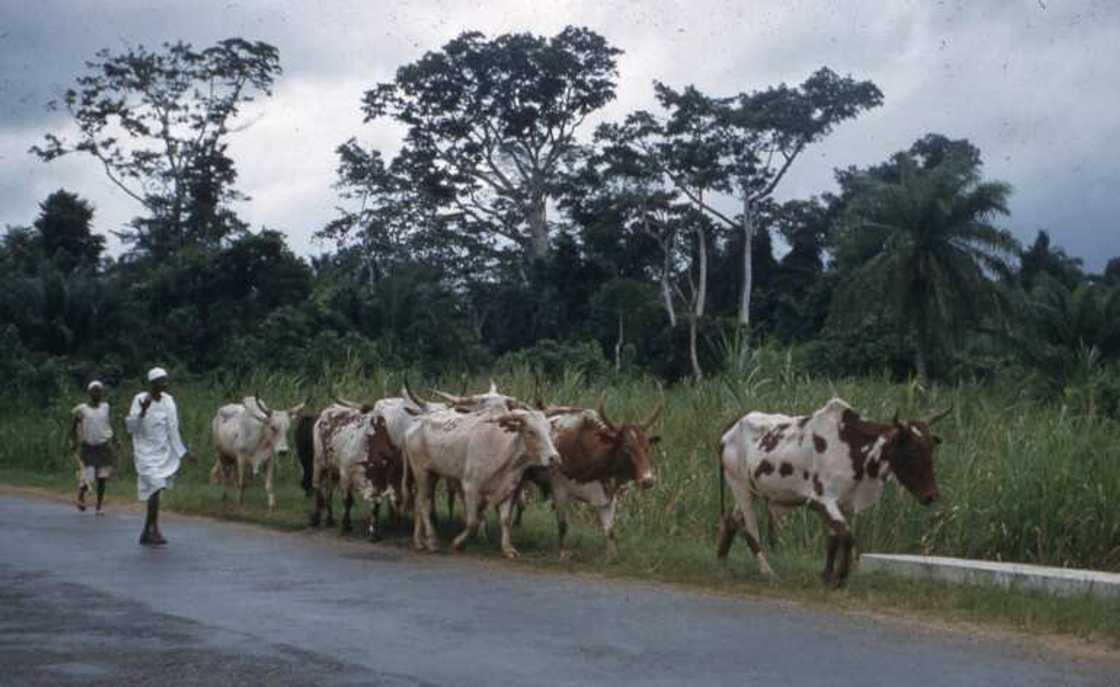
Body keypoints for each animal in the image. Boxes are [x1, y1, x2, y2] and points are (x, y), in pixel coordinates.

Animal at [403, 407, 560, 558]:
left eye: (549, 431)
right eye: (531, 431)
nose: (554, 458)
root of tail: (415, 424)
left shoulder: (508, 489)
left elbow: (505, 521)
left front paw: (507, 549)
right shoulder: (470, 487)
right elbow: (472, 521)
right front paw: (458, 543)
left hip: (432, 474)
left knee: (418, 502)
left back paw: (418, 541)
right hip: (421, 472)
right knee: (424, 504)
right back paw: (431, 541)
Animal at [716, 398, 945, 587]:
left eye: (930, 449)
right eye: (911, 451)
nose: (931, 495)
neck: (853, 447)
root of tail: (731, 427)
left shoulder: (842, 503)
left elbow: (834, 539)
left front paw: (827, 576)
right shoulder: (824, 500)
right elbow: (848, 536)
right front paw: (840, 577)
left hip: (751, 491)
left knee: (731, 520)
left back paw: (722, 562)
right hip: (740, 487)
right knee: (750, 530)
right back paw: (768, 572)